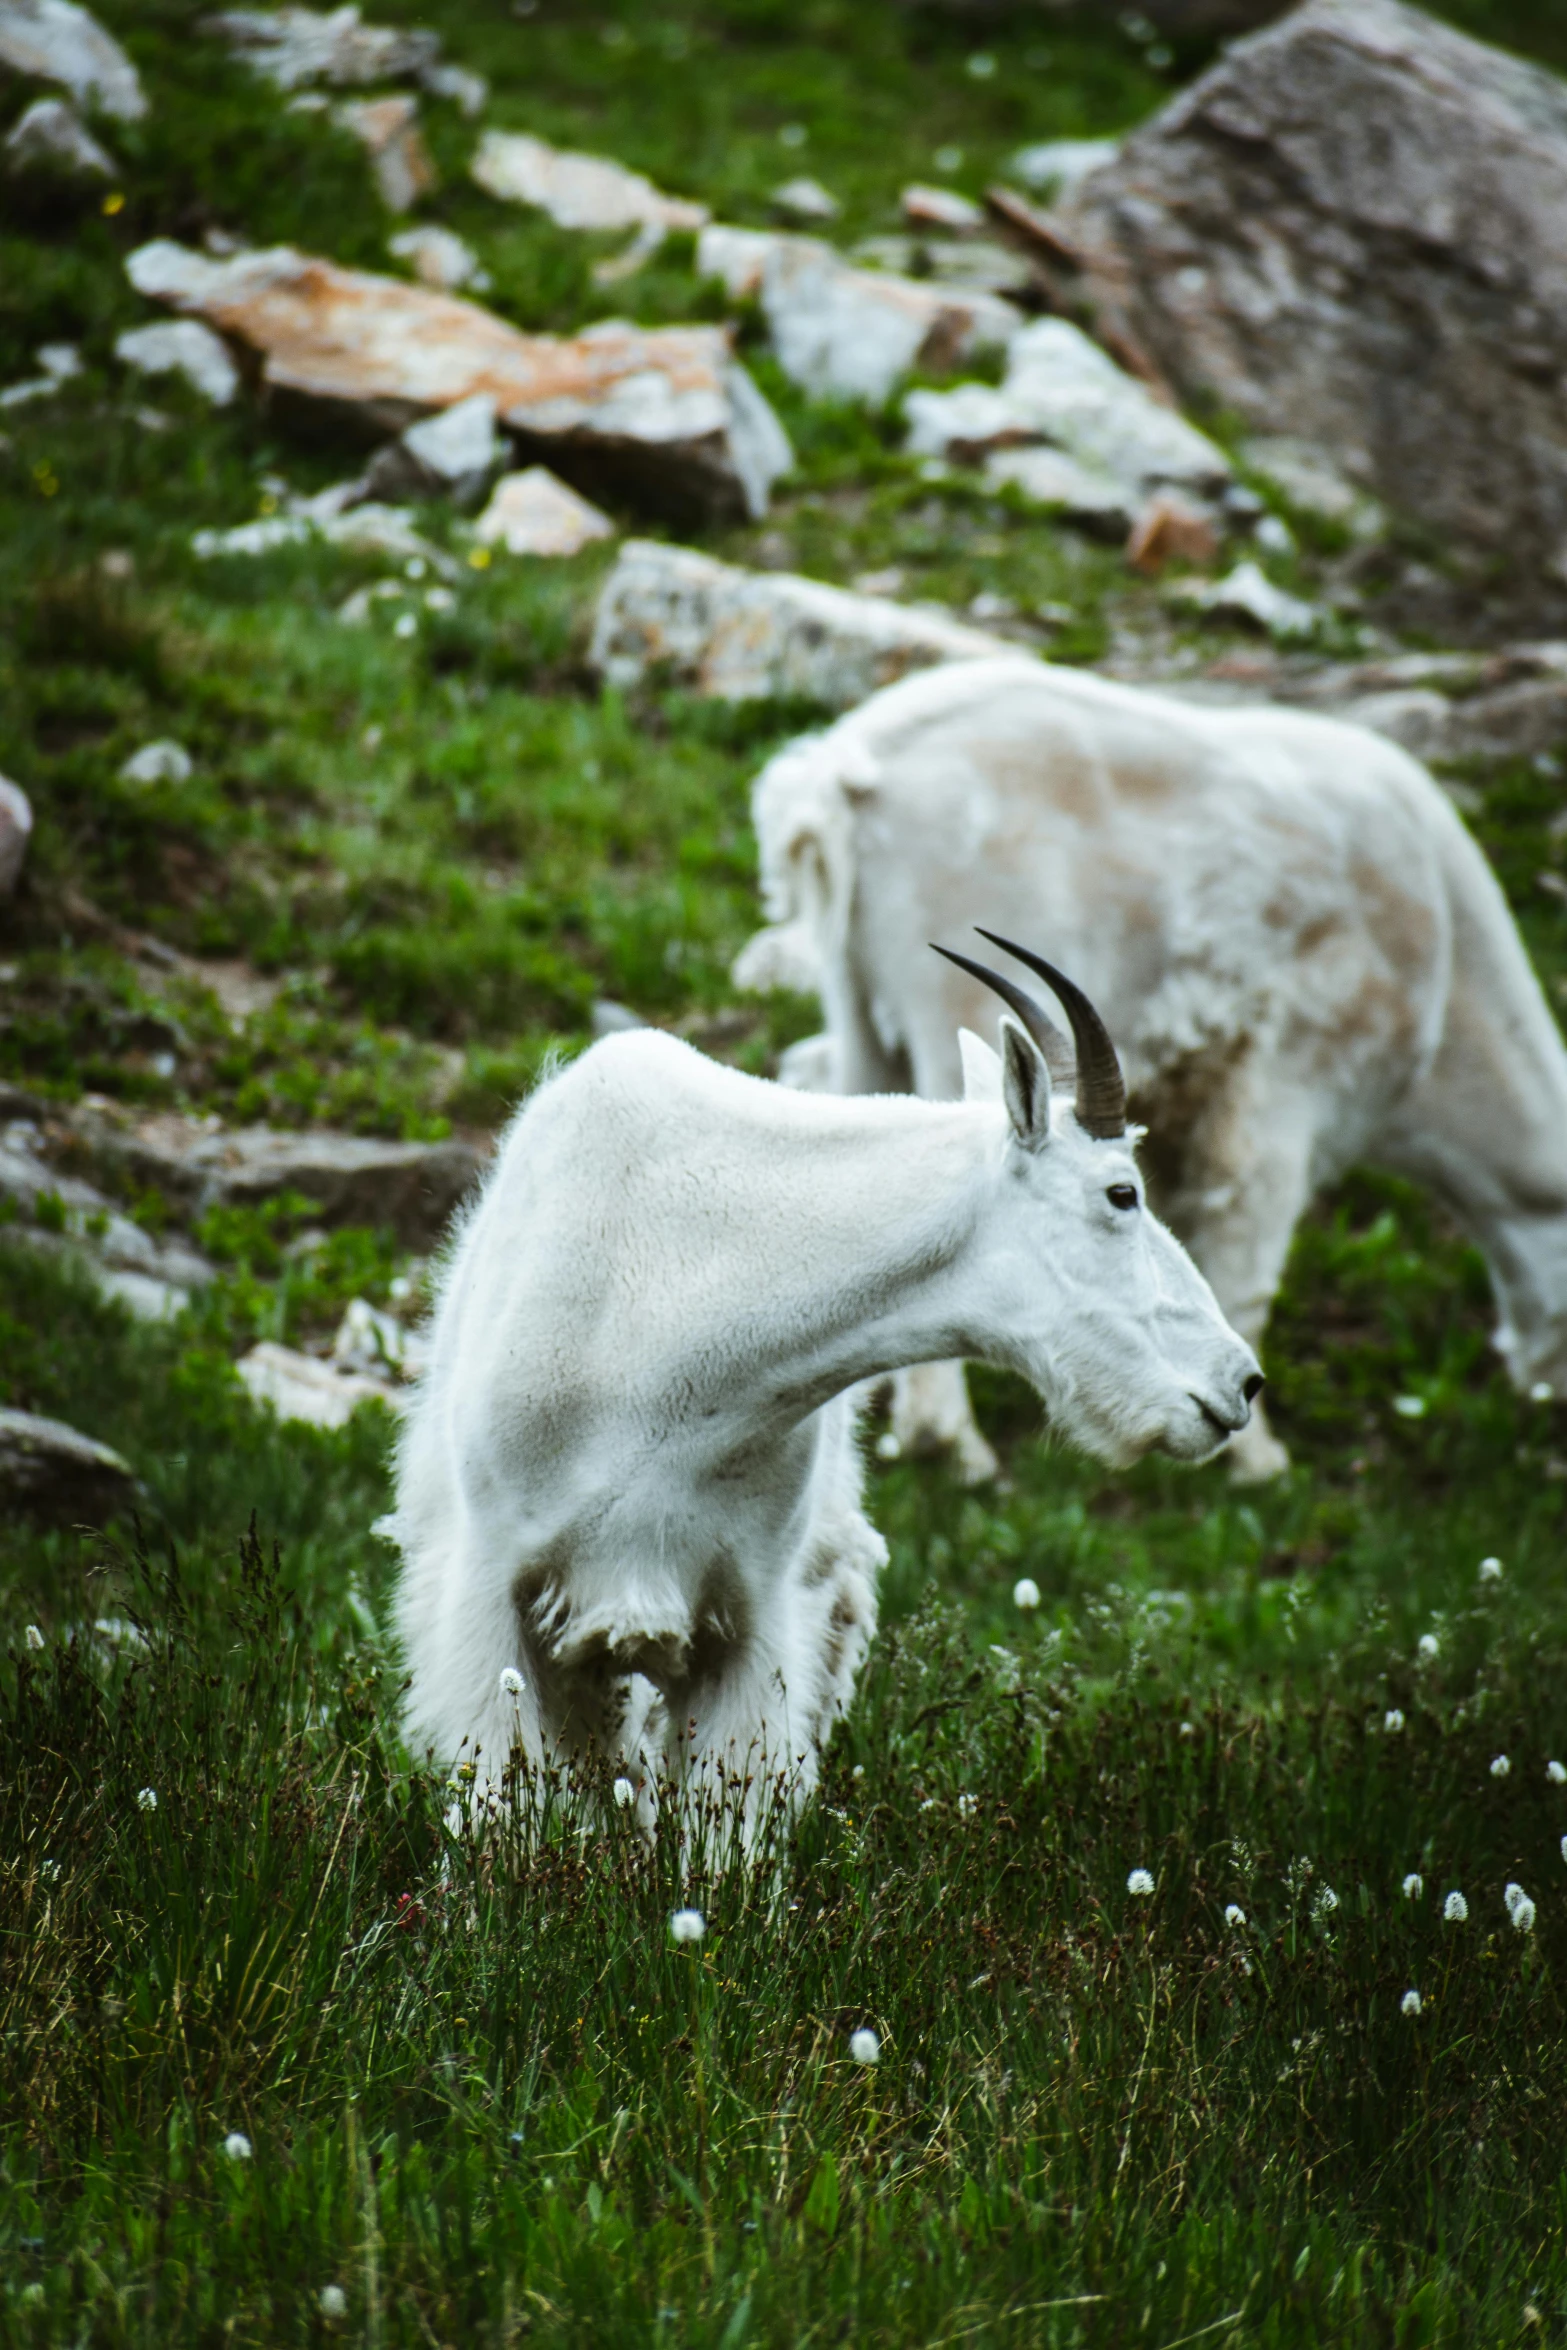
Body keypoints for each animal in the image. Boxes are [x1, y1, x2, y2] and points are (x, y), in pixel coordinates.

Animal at [732, 653, 1567, 1475]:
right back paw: (954, 1445)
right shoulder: (1288, 1083)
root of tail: (841, 780)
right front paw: (1260, 1461)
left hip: (860, 1009)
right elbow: (1245, 1266)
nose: (1545, 1398)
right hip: (946, 1015)